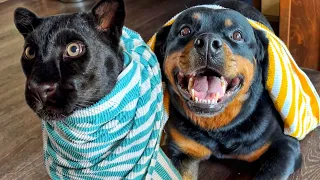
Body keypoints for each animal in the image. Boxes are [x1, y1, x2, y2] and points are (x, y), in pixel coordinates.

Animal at [154, 0, 302, 179]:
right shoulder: (182, 150)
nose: (208, 42)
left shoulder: (284, 146)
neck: (219, 127)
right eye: (185, 30)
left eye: (237, 35)